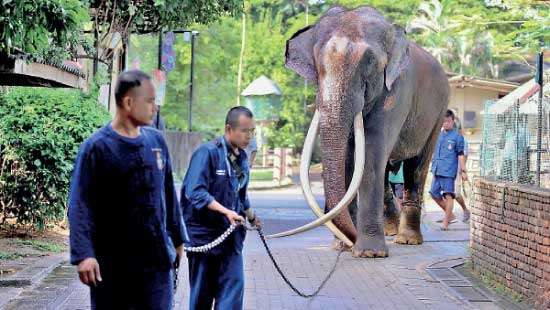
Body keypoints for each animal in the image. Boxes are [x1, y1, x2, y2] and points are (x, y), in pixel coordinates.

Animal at [268, 6, 452, 258]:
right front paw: (343, 247)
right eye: (316, 62)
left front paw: (369, 253)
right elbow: (347, 158)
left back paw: (407, 240)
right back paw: (391, 232)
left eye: (370, 60)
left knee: (417, 165)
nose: (351, 240)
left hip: (438, 113)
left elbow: (372, 153)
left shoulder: (397, 92)